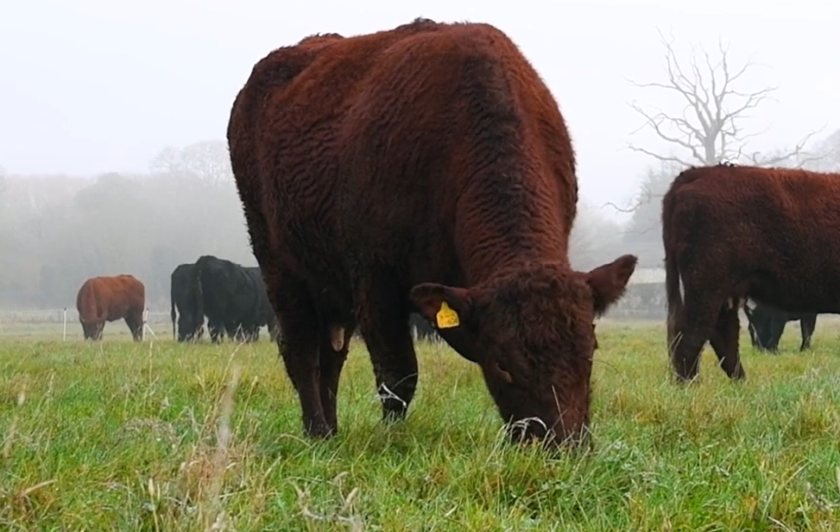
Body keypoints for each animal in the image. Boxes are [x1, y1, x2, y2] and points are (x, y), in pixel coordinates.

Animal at [226, 18, 632, 446]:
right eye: (503, 364)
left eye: (590, 352)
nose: (564, 446)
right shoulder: (375, 282)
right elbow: (397, 376)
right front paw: (391, 438)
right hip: (278, 265)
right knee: (302, 350)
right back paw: (317, 430)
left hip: (329, 285)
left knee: (330, 354)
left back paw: (331, 432)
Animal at [664, 163, 840, 382]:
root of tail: (699, 173)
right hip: (706, 287)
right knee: (692, 335)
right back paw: (691, 385)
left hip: (724, 293)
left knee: (722, 335)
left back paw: (740, 381)